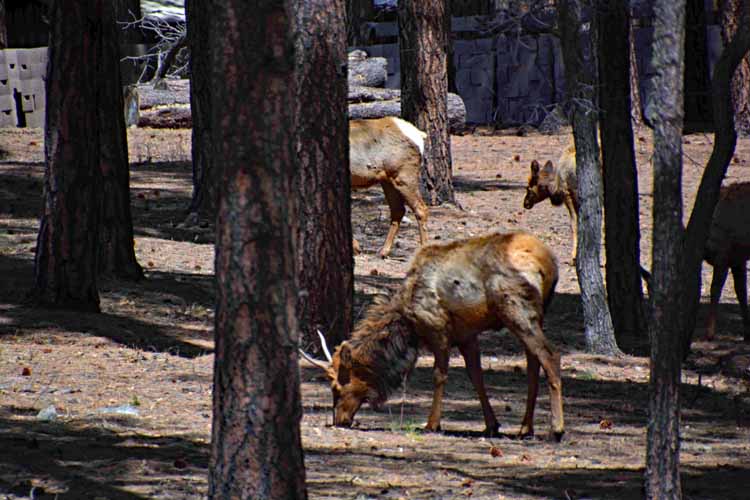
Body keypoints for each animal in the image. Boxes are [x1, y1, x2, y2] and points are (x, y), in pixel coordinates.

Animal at [300, 232, 564, 440]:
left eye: (337, 387)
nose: (339, 420)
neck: (410, 327)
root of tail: (549, 264)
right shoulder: (466, 335)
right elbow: (476, 376)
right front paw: (491, 425)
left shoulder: (438, 329)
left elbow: (439, 375)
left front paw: (431, 423)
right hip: (533, 315)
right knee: (533, 364)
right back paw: (525, 428)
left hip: (517, 309)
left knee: (551, 355)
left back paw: (556, 429)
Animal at [348, 117, 428, 258]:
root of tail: (420, 135)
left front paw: (356, 248)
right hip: (388, 181)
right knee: (398, 210)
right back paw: (383, 251)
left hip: (404, 177)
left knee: (421, 209)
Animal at [704, 182, 750, 342]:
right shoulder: (737, 259)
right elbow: (741, 292)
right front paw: (747, 334)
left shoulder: (722, 256)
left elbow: (715, 289)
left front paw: (710, 334)